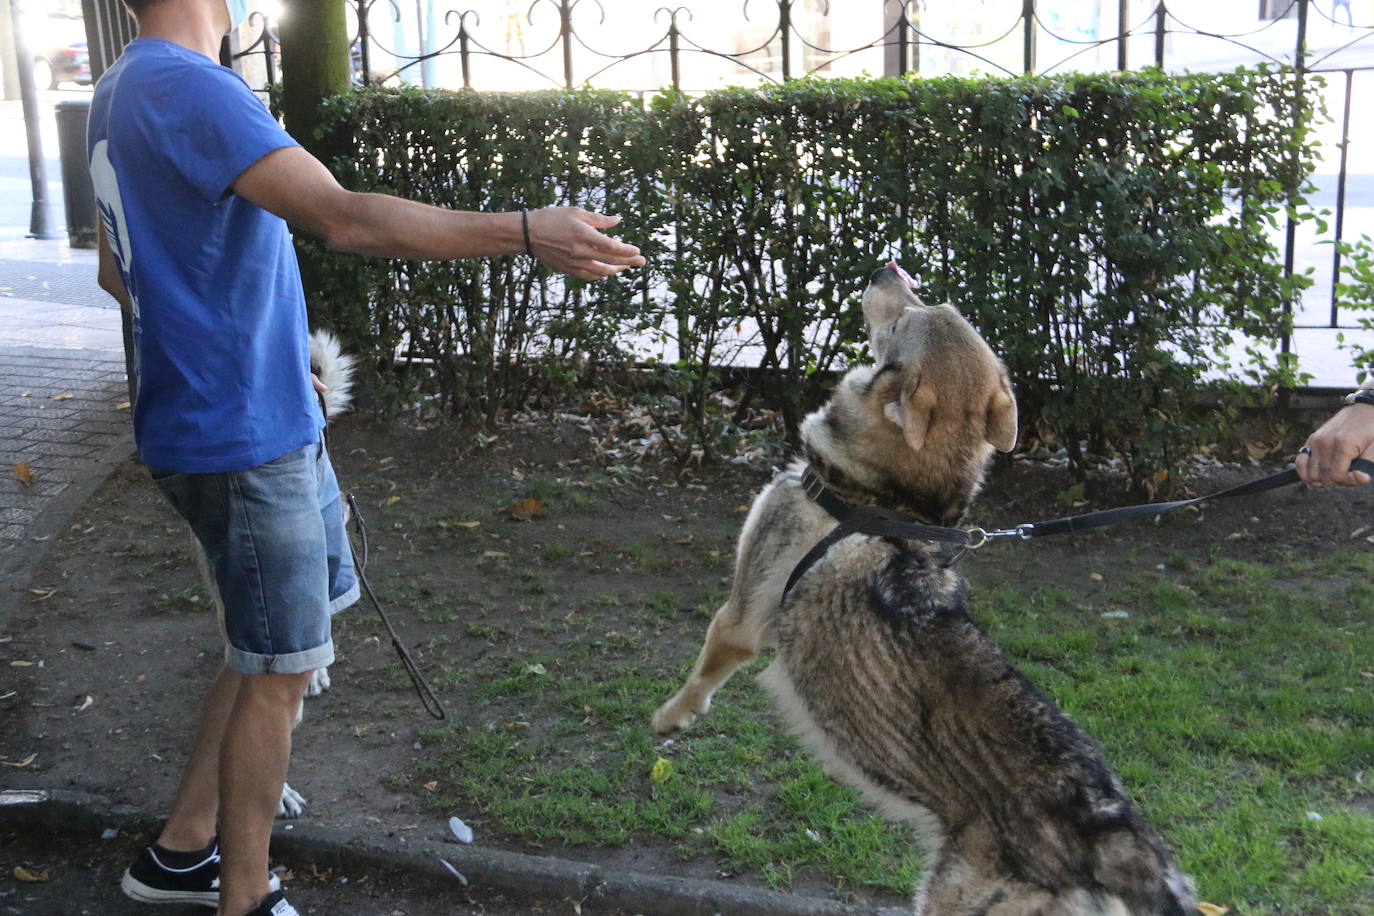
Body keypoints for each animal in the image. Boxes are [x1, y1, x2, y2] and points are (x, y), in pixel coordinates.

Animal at [648, 266, 1198, 916]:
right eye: (936, 302)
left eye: (906, 318)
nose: (886, 267)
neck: (885, 497)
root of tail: (1114, 838)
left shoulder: (741, 618)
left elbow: (702, 672)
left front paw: (669, 719)